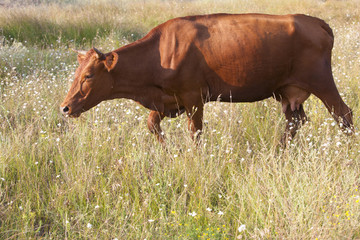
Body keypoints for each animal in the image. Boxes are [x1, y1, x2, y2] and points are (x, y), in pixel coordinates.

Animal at [60, 13, 352, 144]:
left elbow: (195, 132)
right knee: (294, 122)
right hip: (287, 92)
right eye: (75, 73)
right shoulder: (167, 101)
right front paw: (167, 151)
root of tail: (313, 21)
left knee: (343, 114)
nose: (64, 107)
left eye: (88, 75)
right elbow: (152, 125)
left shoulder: (193, 97)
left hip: (322, 82)